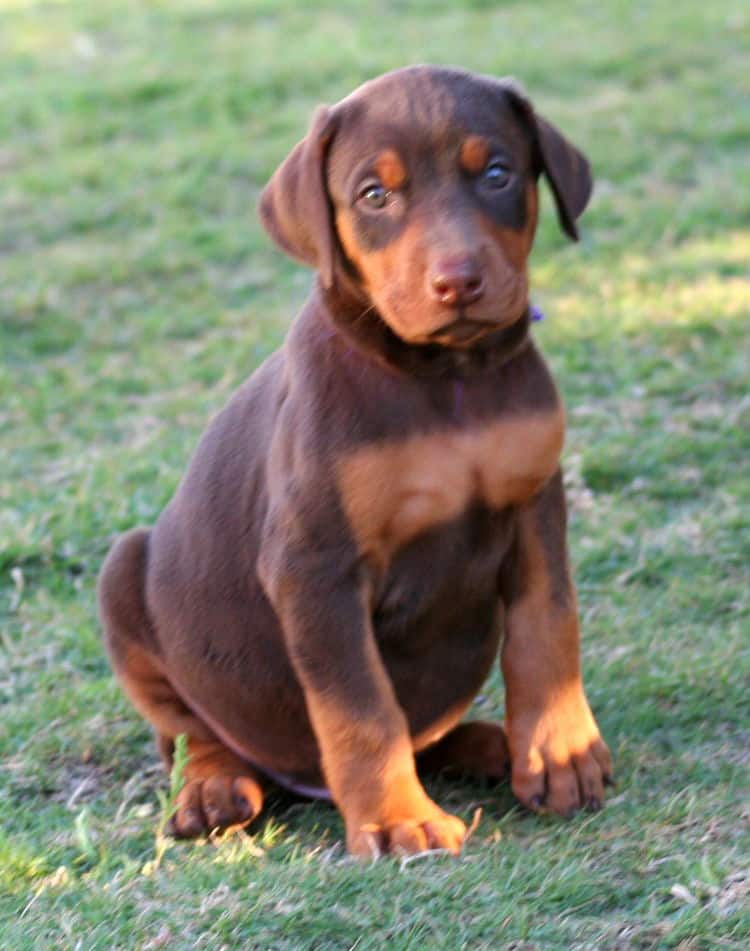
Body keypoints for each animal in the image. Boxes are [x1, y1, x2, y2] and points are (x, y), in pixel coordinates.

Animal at [100, 63, 612, 860]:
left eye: (497, 173)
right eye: (375, 194)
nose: (458, 281)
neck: (447, 377)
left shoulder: (535, 505)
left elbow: (547, 627)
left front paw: (559, 752)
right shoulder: (315, 564)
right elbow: (361, 705)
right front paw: (399, 819)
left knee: (429, 734)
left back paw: (491, 745)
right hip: (124, 579)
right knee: (186, 730)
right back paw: (212, 788)